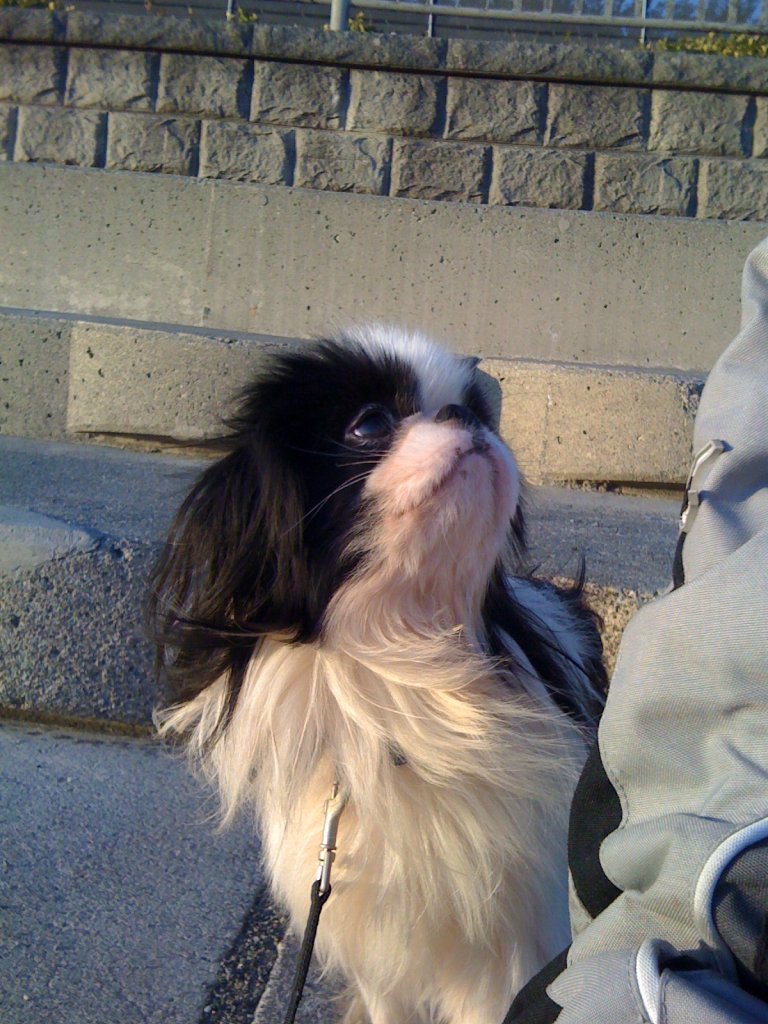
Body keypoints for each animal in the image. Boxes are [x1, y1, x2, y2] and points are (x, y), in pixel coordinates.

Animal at [150, 325, 606, 1024]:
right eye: (369, 424)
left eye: (481, 409)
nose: (464, 414)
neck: (406, 673)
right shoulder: (383, 961)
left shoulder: (508, 950)